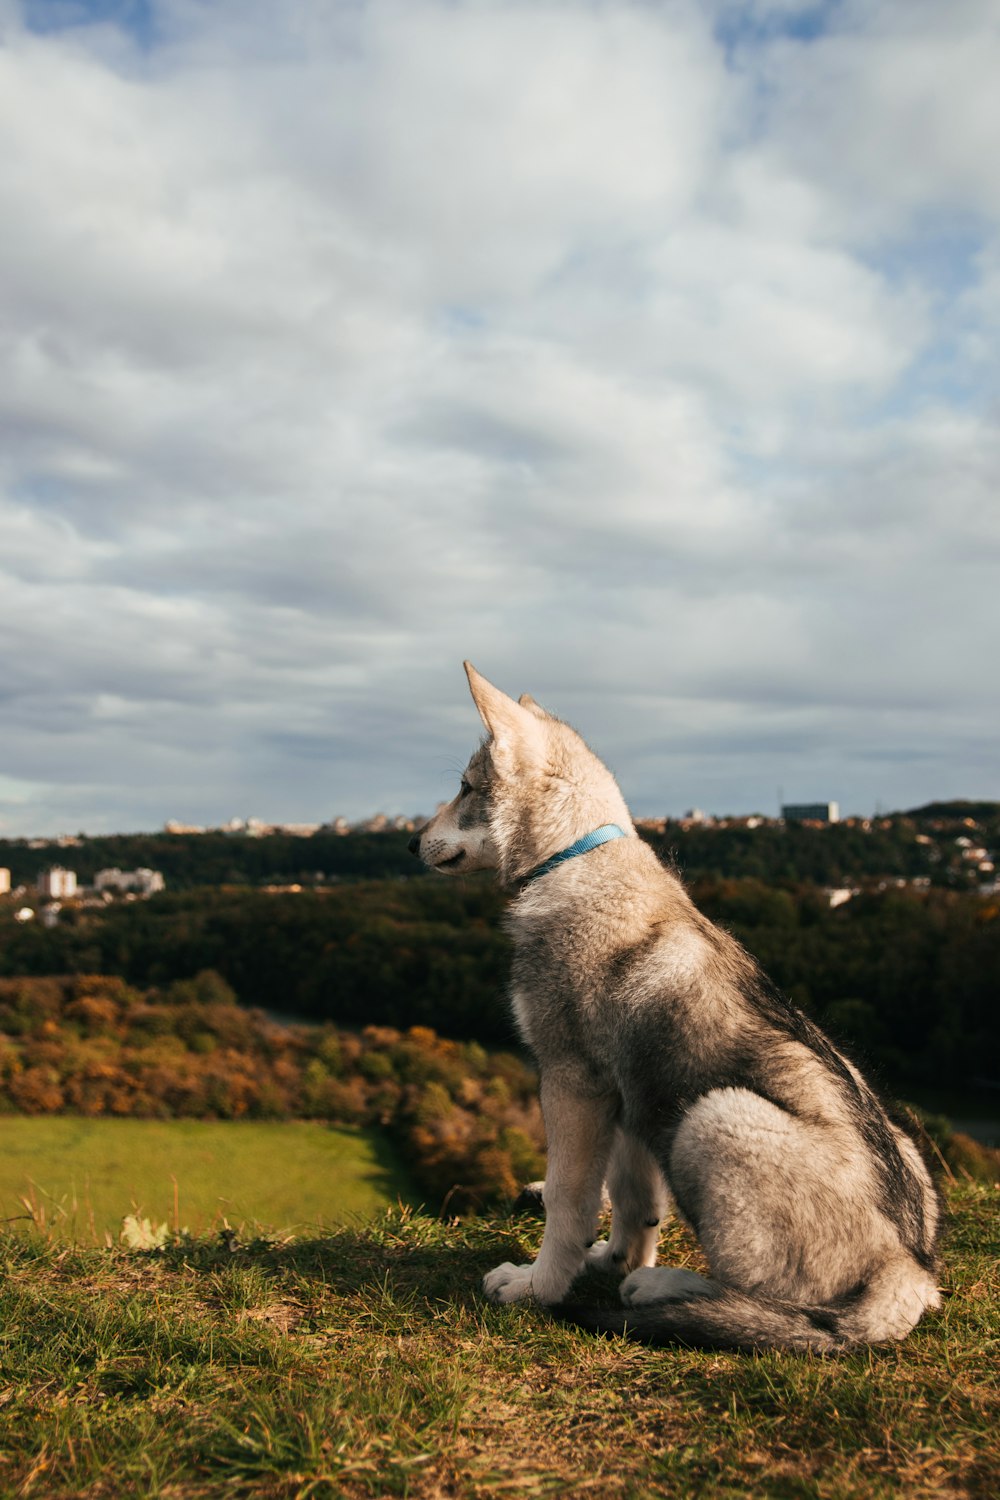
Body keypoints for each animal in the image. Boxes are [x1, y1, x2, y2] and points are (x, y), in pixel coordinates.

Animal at [410, 663, 941, 1356]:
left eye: (466, 788)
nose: (411, 843)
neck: (574, 858)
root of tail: (907, 1278)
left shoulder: (571, 1082)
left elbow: (567, 1202)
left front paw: (538, 1288)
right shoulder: (629, 1099)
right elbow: (633, 1205)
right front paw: (608, 1262)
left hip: (713, 1117)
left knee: (770, 1307)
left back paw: (664, 1289)